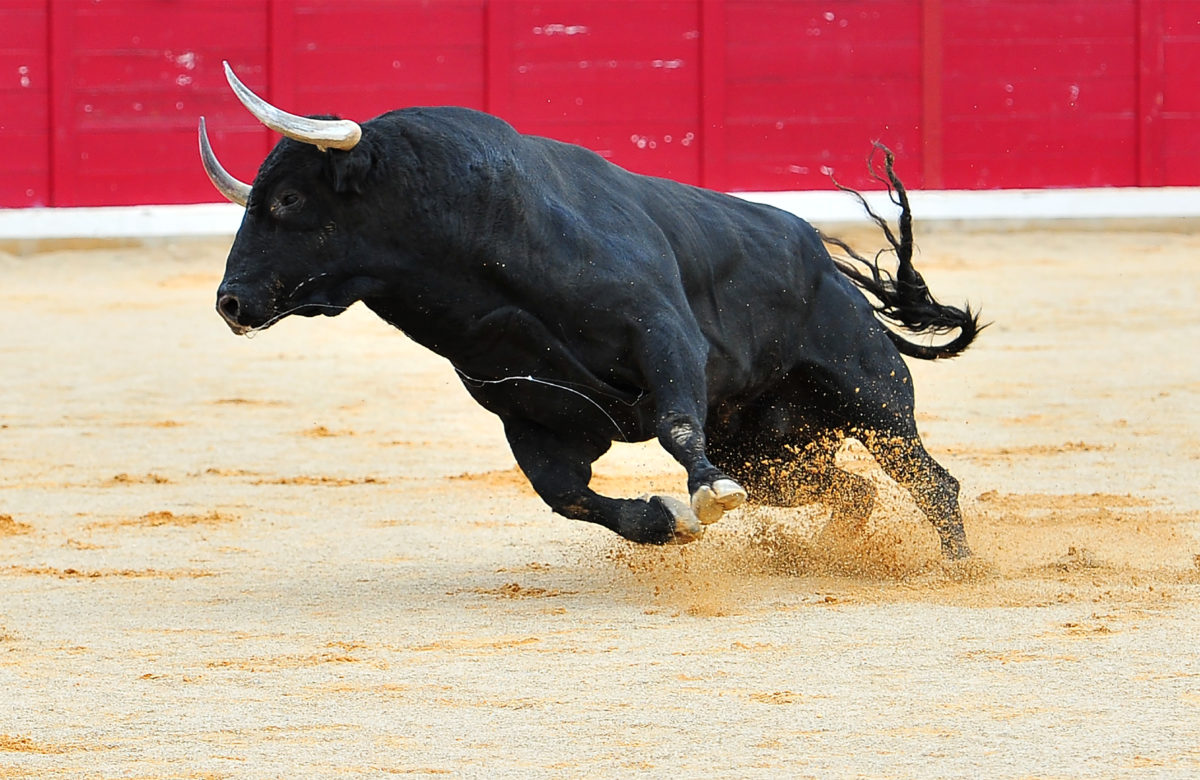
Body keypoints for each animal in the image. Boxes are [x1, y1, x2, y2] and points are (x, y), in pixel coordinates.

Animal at [200, 62, 980, 559]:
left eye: (288, 199)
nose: (231, 301)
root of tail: (822, 259)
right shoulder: (530, 415)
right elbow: (568, 497)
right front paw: (667, 521)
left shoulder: (665, 337)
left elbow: (674, 424)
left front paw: (704, 495)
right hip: (767, 450)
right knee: (852, 493)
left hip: (869, 393)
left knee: (930, 479)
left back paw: (957, 566)